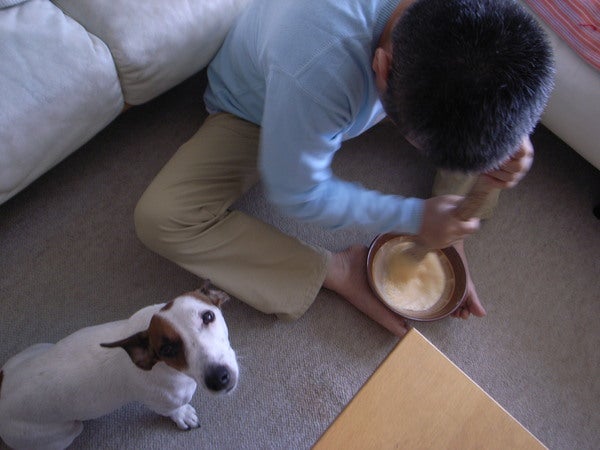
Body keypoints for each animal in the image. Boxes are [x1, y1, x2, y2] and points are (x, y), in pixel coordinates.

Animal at [0, 281, 239, 450]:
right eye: (167, 350)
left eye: (208, 316)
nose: (218, 378)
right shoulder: (162, 402)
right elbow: (173, 410)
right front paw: (183, 415)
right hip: (62, 433)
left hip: (37, 348)